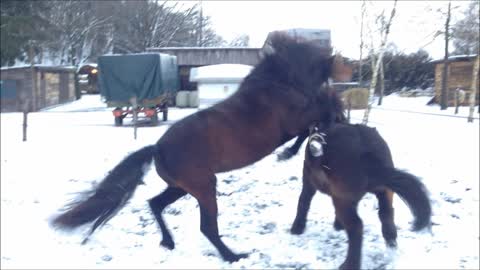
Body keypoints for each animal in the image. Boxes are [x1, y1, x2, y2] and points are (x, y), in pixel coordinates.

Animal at [50, 32, 348, 262]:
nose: (342, 69)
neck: (275, 86)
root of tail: (157, 148)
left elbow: (316, 121)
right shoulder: (292, 123)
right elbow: (314, 121)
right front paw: (290, 152)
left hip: (182, 187)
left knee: (155, 204)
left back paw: (169, 242)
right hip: (204, 187)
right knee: (207, 227)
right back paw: (232, 256)